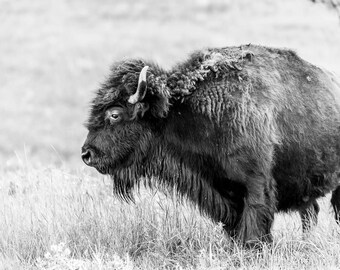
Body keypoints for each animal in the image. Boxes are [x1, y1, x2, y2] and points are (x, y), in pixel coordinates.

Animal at [81, 44, 340, 245]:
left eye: (115, 114)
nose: (87, 154)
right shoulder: (225, 194)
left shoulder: (256, 186)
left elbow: (253, 230)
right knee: (310, 213)